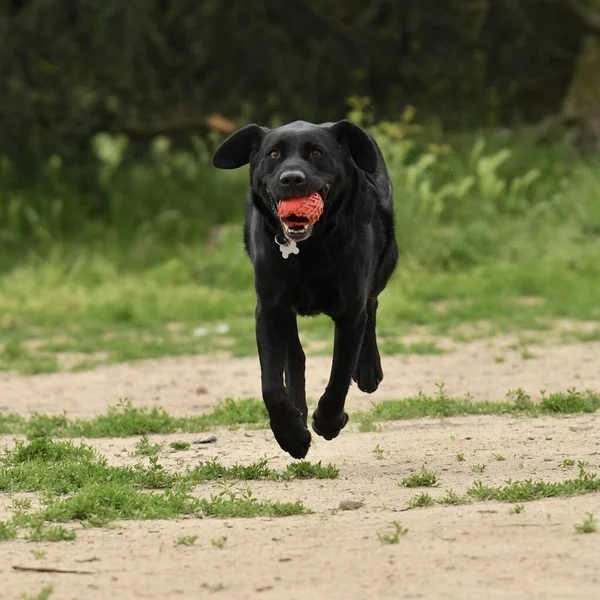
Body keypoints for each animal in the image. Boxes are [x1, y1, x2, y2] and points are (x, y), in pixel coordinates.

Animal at [212, 122, 398, 460]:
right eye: (273, 154)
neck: (310, 247)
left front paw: (329, 422)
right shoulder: (269, 309)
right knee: (294, 356)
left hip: (386, 262)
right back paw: (297, 410)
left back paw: (367, 369)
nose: (292, 178)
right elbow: (272, 385)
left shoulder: (350, 312)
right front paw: (291, 435)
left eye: (317, 153)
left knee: (372, 306)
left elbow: (339, 376)